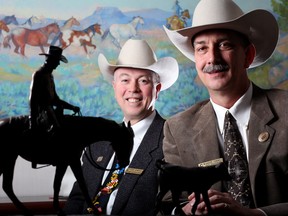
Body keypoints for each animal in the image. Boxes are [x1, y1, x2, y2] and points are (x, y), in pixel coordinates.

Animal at [0, 114, 134, 215]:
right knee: (7, 186)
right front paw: (94, 210)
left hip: (9, 159)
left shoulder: (64, 163)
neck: (77, 132)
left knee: (7, 186)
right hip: (7, 159)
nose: (125, 163)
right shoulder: (72, 161)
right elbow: (81, 184)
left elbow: (57, 185)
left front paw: (59, 210)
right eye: (125, 141)